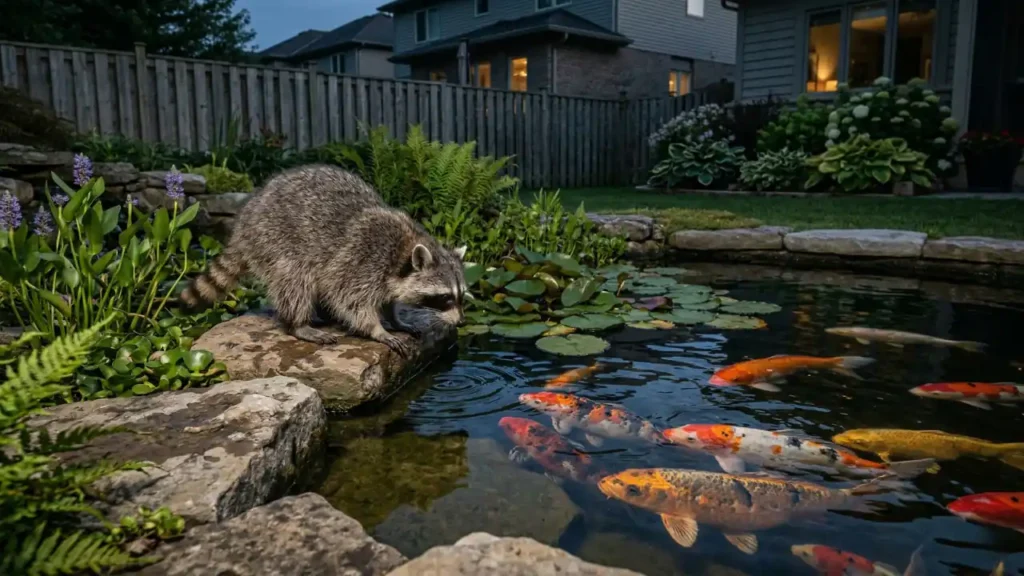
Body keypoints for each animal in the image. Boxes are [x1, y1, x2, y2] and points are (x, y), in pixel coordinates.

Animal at [181, 164, 467, 357]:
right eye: (445, 298)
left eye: (462, 296)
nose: (461, 322)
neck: (403, 250)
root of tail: (243, 223)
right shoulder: (362, 258)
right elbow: (348, 297)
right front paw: (377, 330)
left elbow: (385, 299)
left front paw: (395, 318)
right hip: (275, 239)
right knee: (295, 280)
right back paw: (298, 324)